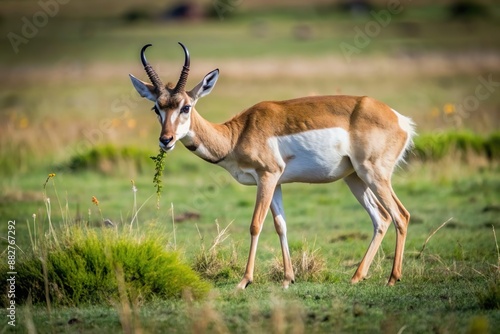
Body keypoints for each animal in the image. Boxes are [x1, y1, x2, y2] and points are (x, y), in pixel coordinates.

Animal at [128, 41, 414, 288]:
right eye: (157, 108)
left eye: (186, 106)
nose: (166, 140)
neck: (236, 134)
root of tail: (399, 118)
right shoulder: (276, 182)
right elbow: (280, 225)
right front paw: (288, 279)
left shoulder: (266, 176)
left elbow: (256, 224)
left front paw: (244, 281)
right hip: (354, 178)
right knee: (381, 218)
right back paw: (356, 277)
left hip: (373, 174)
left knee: (400, 215)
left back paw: (392, 278)